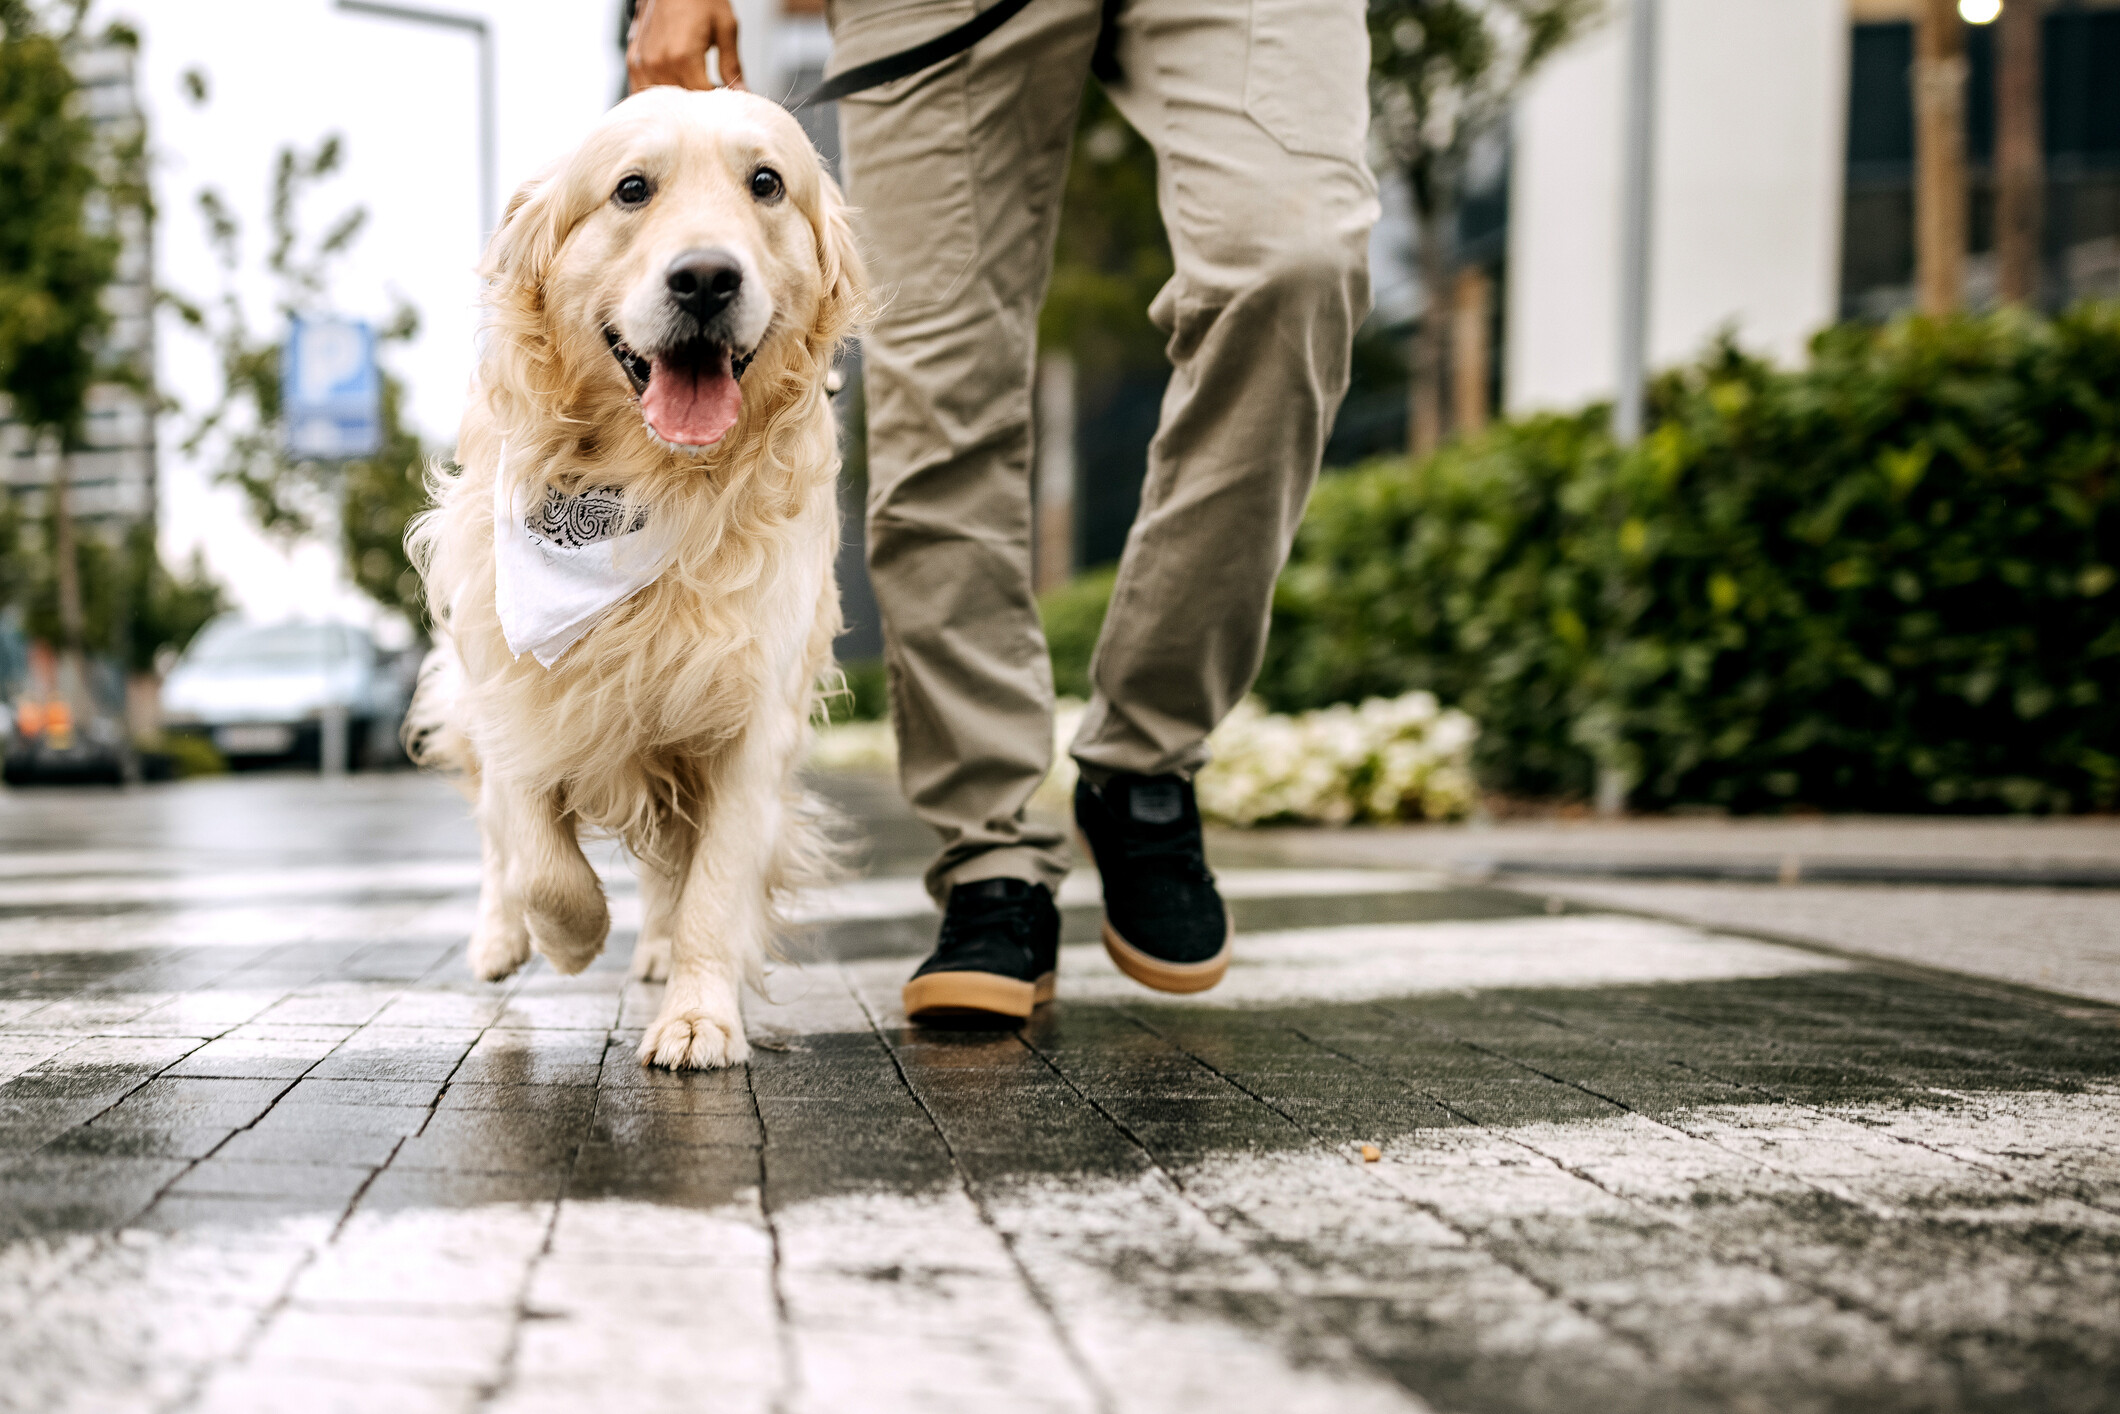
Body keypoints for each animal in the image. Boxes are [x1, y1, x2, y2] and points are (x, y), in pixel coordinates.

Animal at [400, 88, 864, 1068]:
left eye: (766, 183)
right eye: (631, 190)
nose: (706, 280)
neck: (649, 486)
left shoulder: (747, 709)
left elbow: (715, 885)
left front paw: (697, 1016)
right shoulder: (514, 680)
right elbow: (536, 854)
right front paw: (570, 936)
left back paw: (653, 950)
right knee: (497, 839)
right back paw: (501, 940)